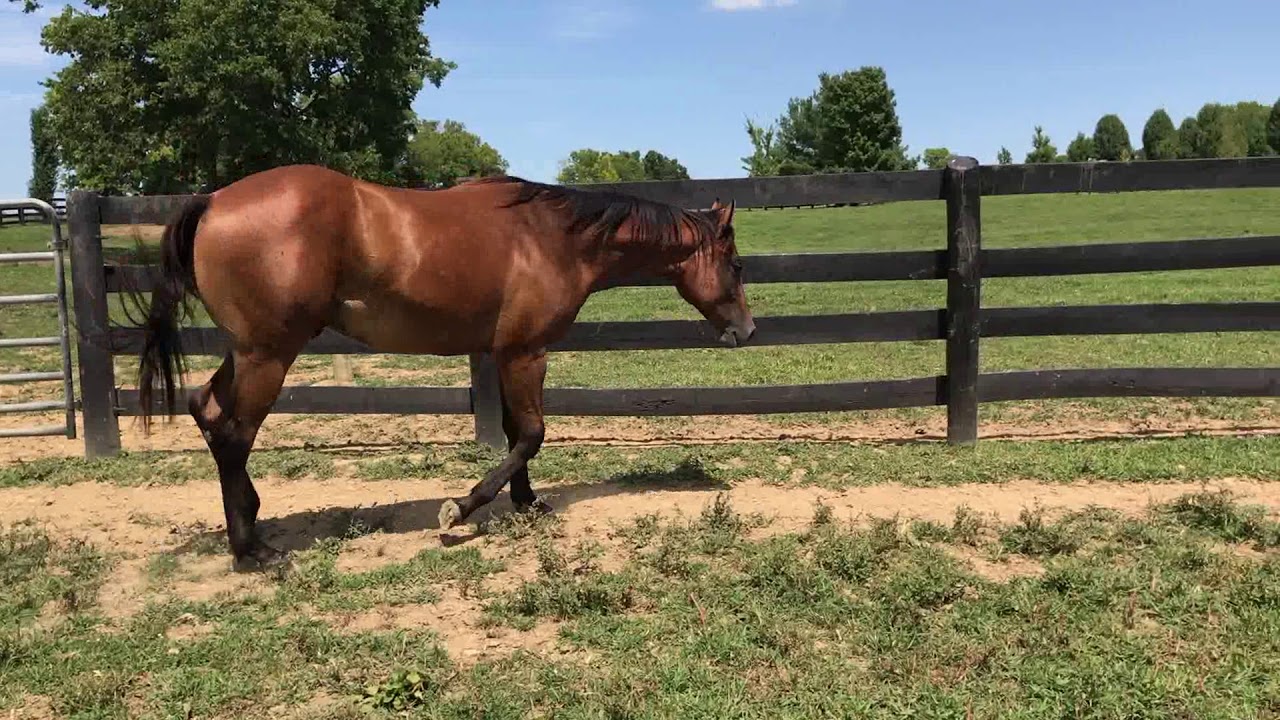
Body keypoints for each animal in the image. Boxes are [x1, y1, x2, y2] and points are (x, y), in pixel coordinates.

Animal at [126, 164, 756, 571]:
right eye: (736, 264)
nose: (747, 331)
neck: (550, 237)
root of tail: (212, 202)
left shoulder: (505, 352)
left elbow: (514, 432)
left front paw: (527, 503)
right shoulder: (527, 352)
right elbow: (532, 433)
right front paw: (461, 509)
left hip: (249, 352)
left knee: (207, 411)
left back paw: (253, 519)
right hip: (268, 355)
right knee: (235, 435)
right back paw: (250, 550)